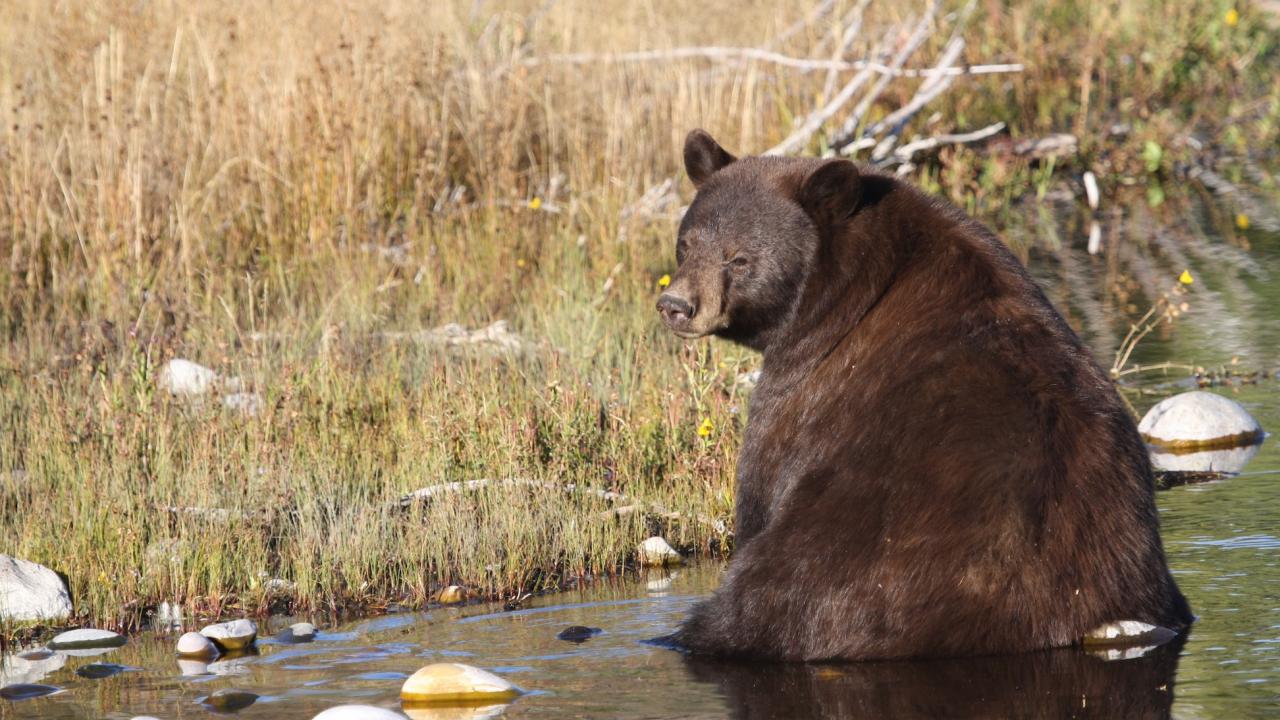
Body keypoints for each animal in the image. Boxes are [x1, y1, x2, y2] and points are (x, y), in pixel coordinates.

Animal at [655, 126, 1192, 661]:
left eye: (740, 258)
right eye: (686, 244)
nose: (675, 305)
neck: (840, 294)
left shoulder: (800, 392)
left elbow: (759, 488)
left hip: (842, 563)